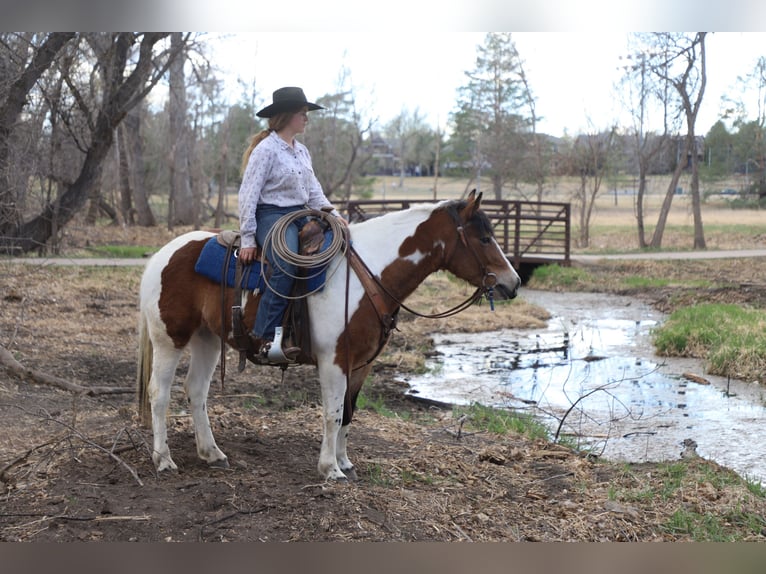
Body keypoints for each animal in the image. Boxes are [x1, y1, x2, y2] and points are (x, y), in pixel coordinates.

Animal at [136, 190, 521, 481]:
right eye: (484, 238)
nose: (513, 282)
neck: (368, 275)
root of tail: (159, 256)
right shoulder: (334, 360)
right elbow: (332, 413)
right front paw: (330, 469)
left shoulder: (361, 363)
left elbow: (349, 412)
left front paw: (345, 462)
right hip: (170, 339)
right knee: (159, 394)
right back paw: (163, 459)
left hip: (207, 339)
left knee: (196, 391)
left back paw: (212, 453)